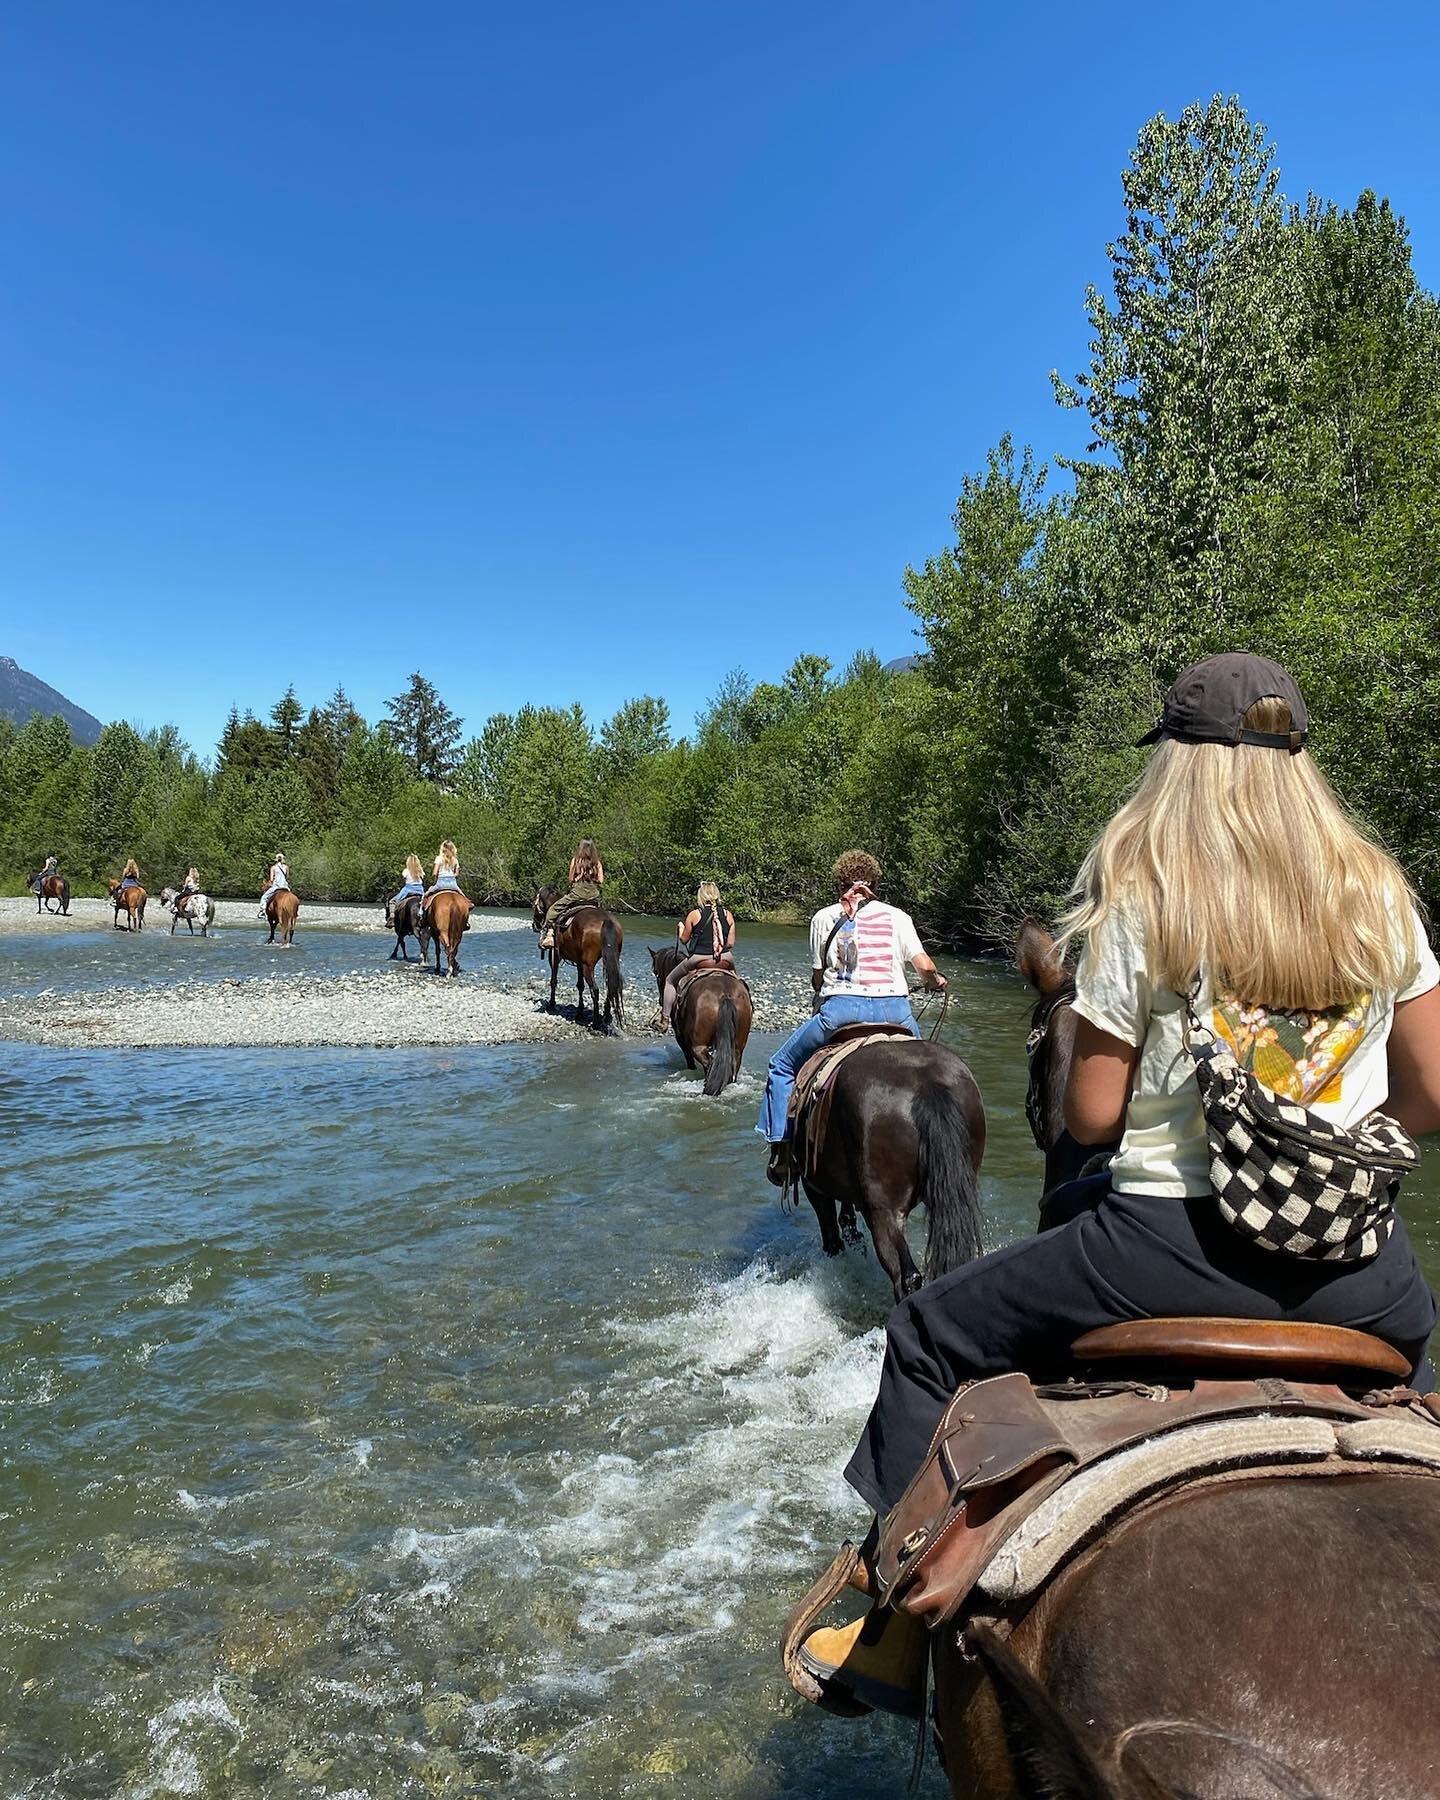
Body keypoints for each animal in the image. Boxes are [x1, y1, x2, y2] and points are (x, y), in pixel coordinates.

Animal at [529, 882, 619, 1029]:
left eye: (533, 904)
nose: (534, 925)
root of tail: (606, 921)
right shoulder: (579, 962)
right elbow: (580, 985)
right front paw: (579, 1011)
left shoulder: (554, 955)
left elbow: (553, 980)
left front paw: (552, 1004)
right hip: (610, 962)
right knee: (610, 986)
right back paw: (606, 1016)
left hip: (589, 965)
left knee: (595, 990)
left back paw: (595, 1022)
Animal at [644, 943, 748, 1094]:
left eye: (656, 972)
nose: (660, 1000)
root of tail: (724, 994)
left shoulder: (682, 1039)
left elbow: (690, 1061)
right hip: (737, 1047)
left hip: (698, 1045)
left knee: (708, 1064)